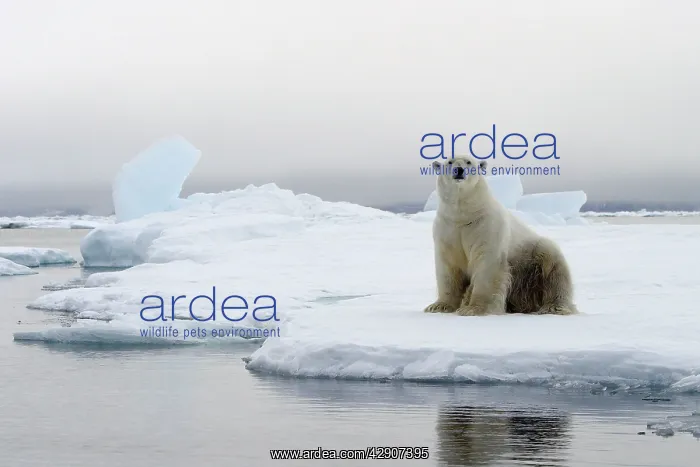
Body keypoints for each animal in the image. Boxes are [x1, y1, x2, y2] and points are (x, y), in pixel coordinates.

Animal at [424, 155, 578, 316]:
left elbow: (486, 264)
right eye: (450, 162)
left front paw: (474, 309)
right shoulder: (448, 229)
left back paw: (554, 307)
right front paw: (439, 306)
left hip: (532, 257)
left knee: (554, 270)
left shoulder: (486, 227)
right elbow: (448, 267)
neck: (465, 215)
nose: (458, 170)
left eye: (468, 162)